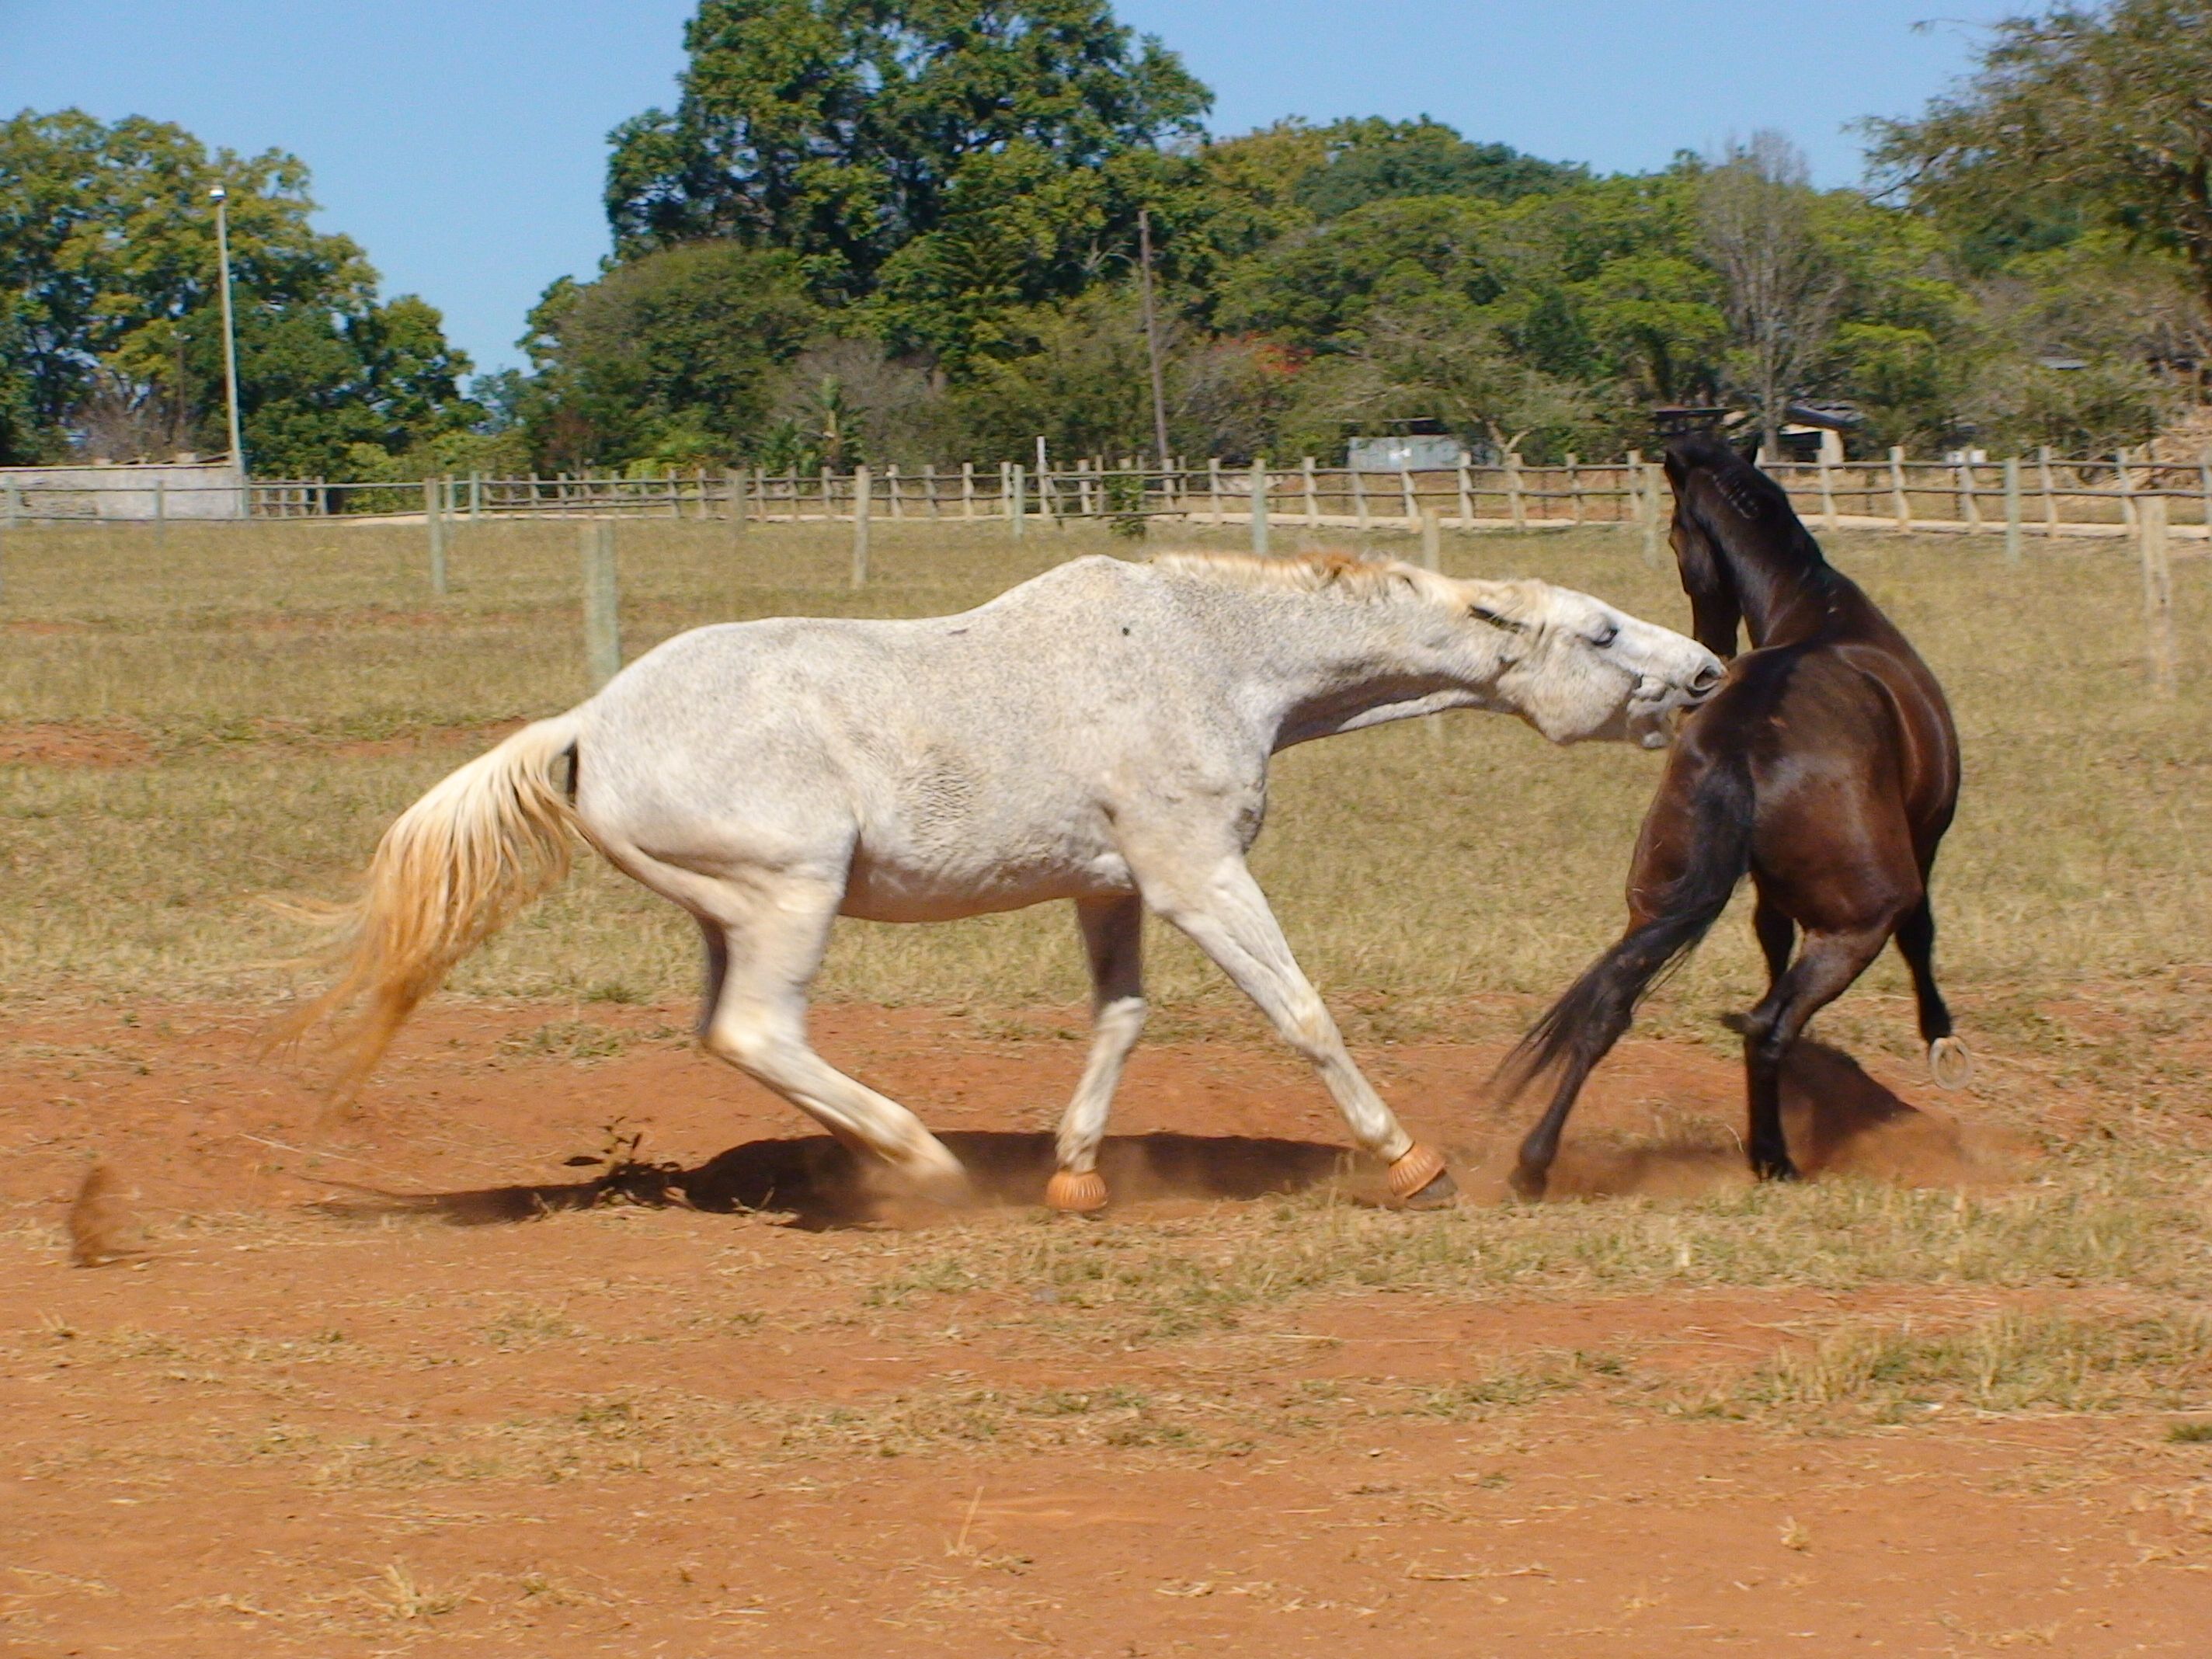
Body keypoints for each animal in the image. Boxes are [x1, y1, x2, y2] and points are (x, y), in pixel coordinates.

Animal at [281, 548, 1723, 1213]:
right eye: (1602, 633)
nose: (1708, 670)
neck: (1215, 657)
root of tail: (587, 723)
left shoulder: (1113, 887)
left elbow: (1121, 1019)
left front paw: (1077, 1174)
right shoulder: (1197, 874)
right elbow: (1301, 1012)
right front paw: (1409, 1159)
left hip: (727, 912)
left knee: (729, 1035)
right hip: (794, 893)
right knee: (757, 1031)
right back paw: (924, 1165)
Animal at [1497, 433, 1968, 1198]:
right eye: (1677, 535)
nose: (1709, 654)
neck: (1819, 608)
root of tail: (1745, 739)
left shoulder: (1766, 889)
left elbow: (1770, 938)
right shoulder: (1925, 840)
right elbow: (1921, 936)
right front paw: (1939, 1035)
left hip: (1652, 907)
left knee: (1608, 1009)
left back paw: (1534, 1162)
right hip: (1856, 926)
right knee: (1770, 1028)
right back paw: (1773, 1157)